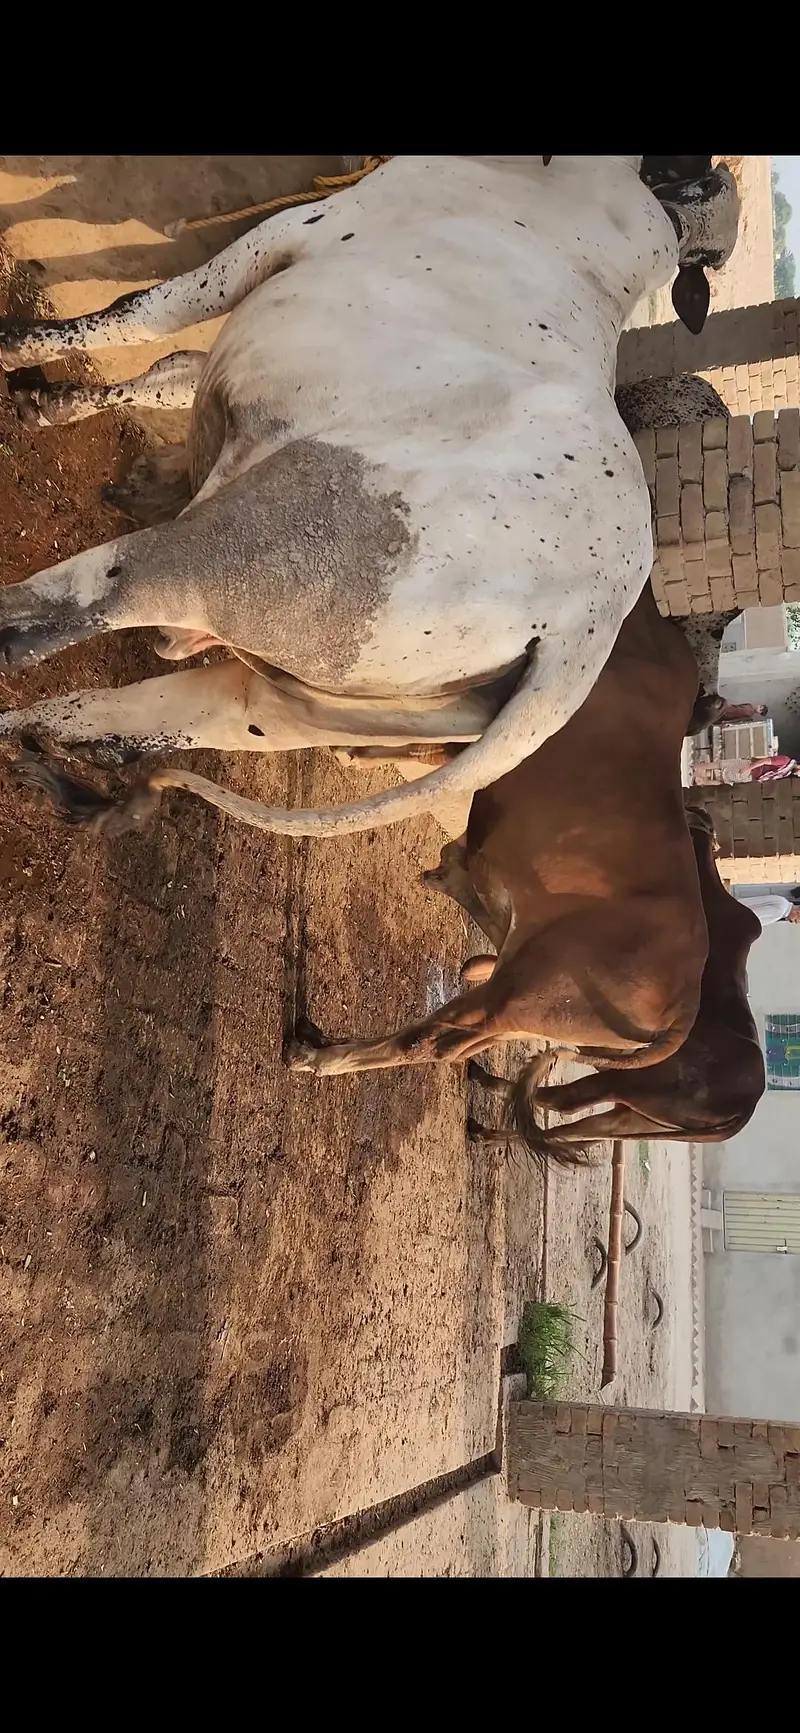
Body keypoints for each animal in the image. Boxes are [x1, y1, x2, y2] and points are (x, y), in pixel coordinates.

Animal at [0, 155, 739, 842]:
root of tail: (584, 628)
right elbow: (166, 373)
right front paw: (48, 401)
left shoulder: (286, 234)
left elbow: (136, 318)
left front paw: (15, 348)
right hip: (287, 704)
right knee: (152, 712)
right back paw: (30, 734)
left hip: (230, 557)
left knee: (73, 608)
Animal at [285, 580, 708, 1081]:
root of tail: (686, 1005)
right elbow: (438, 750)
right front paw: (356, 751)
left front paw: (351, 750)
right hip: (523, 1016)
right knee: (453, 1044)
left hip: (521, 989)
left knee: (426, 1039)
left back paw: (316, 1056)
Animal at [466, 807, 765, 1162]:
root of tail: (747, 1107)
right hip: (636, 1118)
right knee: (569, 1130)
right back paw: (485, 1132)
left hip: (627, 1085)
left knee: (561, 1103)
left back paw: (480, 1081)